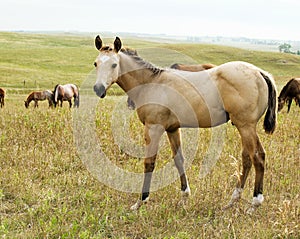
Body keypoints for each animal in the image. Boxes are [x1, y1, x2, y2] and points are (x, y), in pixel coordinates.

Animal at [93, 36, 276, 212]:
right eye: (96, 63)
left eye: (114, 64)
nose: (98, 89)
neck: (151, 83)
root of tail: (260, 72)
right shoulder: (172, 129)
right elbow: (179, 160)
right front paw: (184, 196)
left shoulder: (153, 128)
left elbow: (149, 162)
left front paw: (141, 201)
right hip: (243, 127)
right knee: (247, 159)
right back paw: (232, 201)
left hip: (246, 126)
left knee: (257, 157)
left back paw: (254, 204)